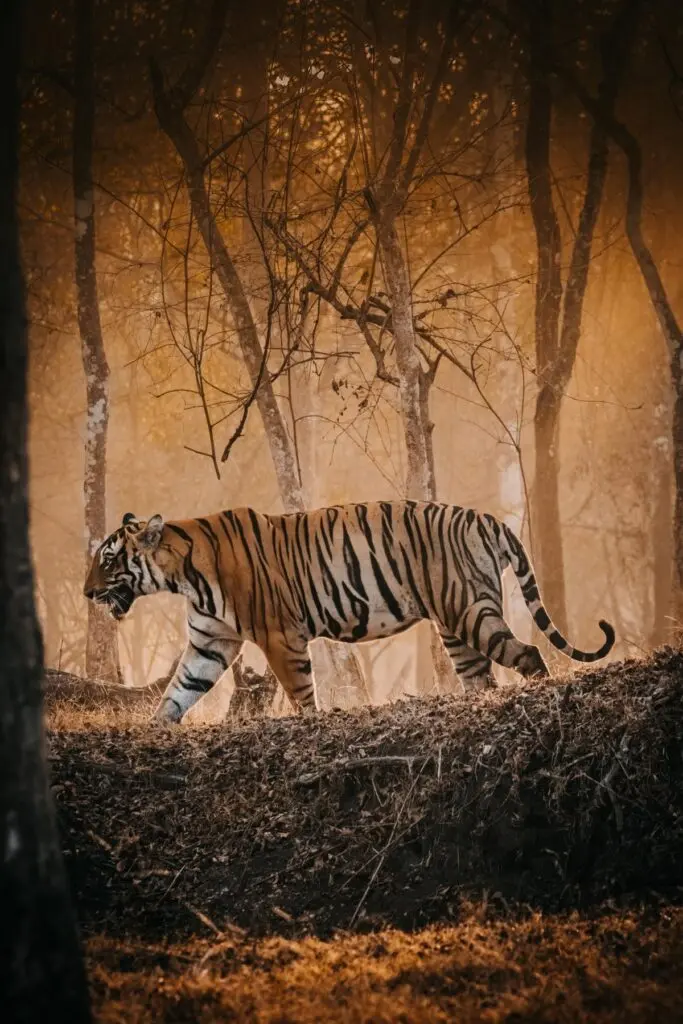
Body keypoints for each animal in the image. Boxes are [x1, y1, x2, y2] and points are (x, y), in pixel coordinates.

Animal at [83, 502, 615, 723]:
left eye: (108, 559)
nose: (87, 593)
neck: (184, 575)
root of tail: (485, 517)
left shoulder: (280, 636)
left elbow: (301, 693)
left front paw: (310, 723)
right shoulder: (209, 642)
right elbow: (177, 693)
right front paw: (155, 731)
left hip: (471, 611)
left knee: (528, 654)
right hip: (456, 628)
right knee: (482, 677)